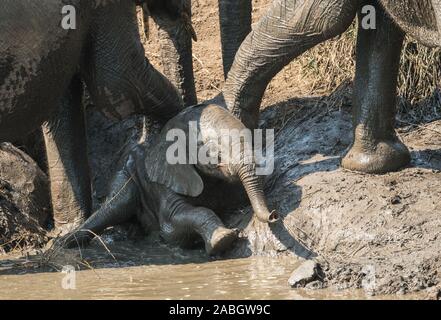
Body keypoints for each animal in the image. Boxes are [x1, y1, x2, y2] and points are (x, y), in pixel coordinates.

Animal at [60, 101, 276, 256]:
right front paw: (223, 239)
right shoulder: (165, 184)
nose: (273, 215)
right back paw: (65, 243)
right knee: (116, 205)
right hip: (126, 174)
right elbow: (173, 223)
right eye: (211, 150)